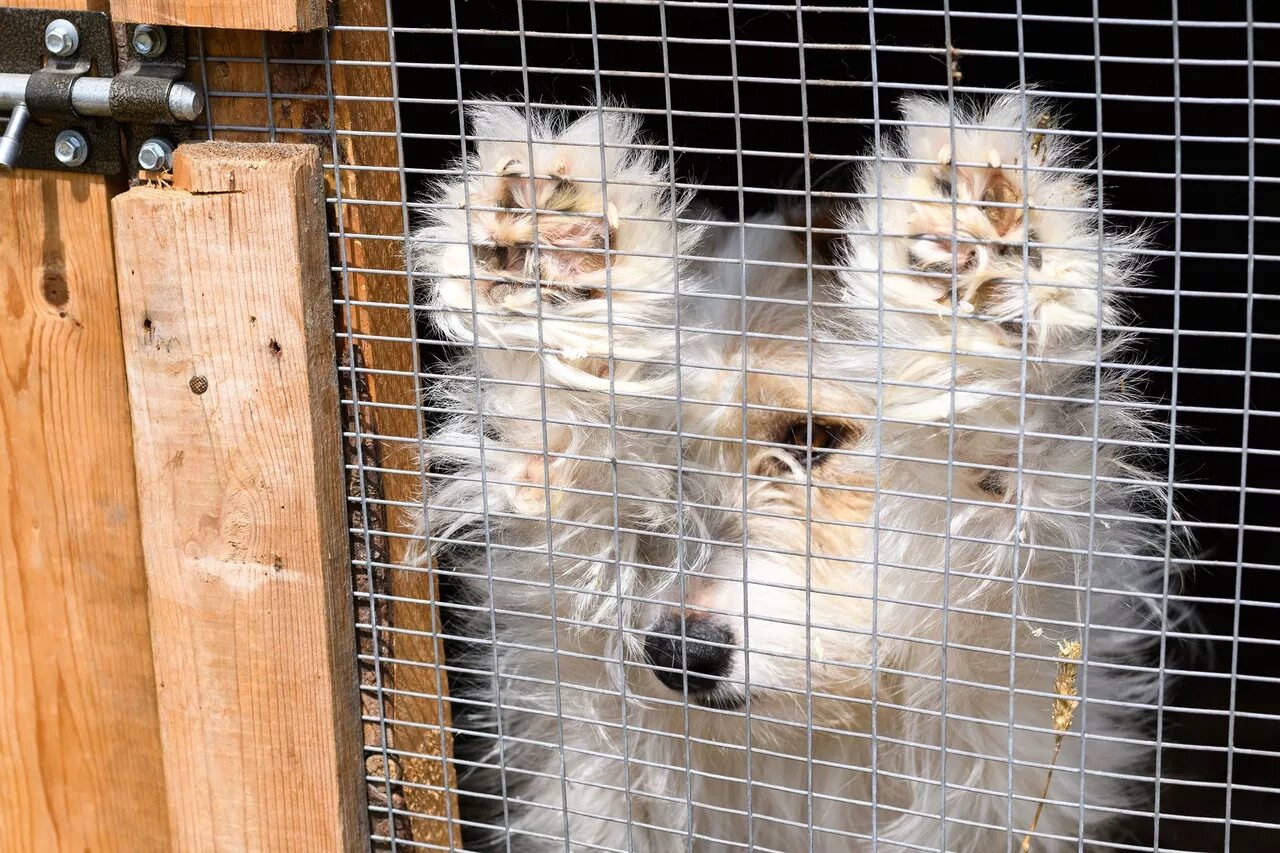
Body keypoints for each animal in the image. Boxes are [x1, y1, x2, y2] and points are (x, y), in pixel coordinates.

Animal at [419, 94, 1177, 850]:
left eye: (811, 439)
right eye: (658, 453)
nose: (681, 653)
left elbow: (973, 453)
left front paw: (980, 264)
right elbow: (552, 464)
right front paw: (547, 271)